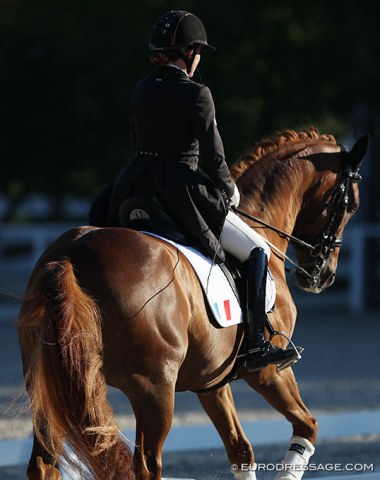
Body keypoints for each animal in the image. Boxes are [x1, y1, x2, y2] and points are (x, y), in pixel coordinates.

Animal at [17, 128, 368, 480]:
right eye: (351, 205)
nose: (323, 275)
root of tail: (70, 256)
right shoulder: (269, 372)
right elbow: (308, 425)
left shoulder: (213, 381)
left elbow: (241, 450)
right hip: (154, 390)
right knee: (147, 465)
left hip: (49, 387)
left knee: (43, 463)